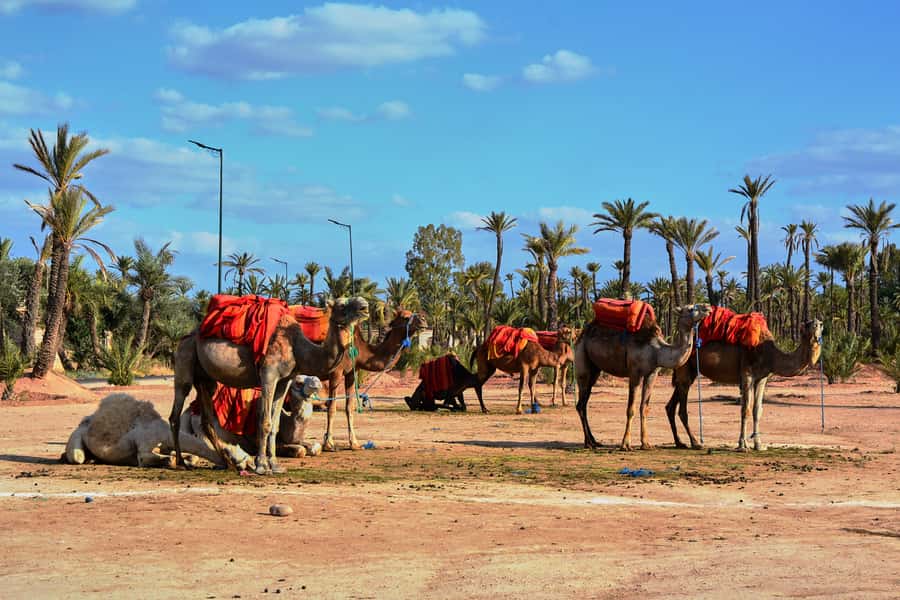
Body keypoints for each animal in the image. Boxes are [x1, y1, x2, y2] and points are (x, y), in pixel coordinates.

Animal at [64, 393, 227, 468]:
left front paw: (187, 461)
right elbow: (155, 458)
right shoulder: (145, 444)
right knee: (77, 457)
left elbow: (180, 455)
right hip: (77, 437)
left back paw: (92, 459)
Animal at [169, 296, 369, 475]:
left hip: (205, 378)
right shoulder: (268, 375)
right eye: (342, 305)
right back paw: (181, 463)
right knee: (176, 410)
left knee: (207, 419)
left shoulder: (285, 381)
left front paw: (275, 465)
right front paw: (261, 466)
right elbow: (264, 421)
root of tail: (188, 335)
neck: (297, 347)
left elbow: (275, 423)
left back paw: (229, 463)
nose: (365, 306)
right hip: (185, 356)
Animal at [320, 310, 427, 451]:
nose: (423, 319)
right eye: (405, 317)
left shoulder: (351, 372)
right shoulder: (335, 373)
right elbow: (331, 407)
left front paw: (354, 444)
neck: (360, 349)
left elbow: (349, 407)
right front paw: (328, 444)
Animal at [574, 304, 711, 450]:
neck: (657, 351)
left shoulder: (652, 374)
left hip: (595, 370)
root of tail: (582, 334)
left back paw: (594, 441)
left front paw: (645, 443)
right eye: (691, 309)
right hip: (582, 358)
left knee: (584, 403)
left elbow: (644, 407)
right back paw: (588, 443)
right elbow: (631, 409)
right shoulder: (635, 372)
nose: (707, 307)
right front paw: (625, 444)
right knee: (581, 403)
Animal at [665, 318, 822, 451]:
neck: (770, 355)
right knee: (682, 408)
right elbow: (745, 409)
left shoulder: (762, 378)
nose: (816, 325)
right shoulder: (747, 374)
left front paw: (759, 445)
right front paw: (742, 445)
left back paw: (680, 442)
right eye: (808, 324)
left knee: (671, 405)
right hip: (685, 365)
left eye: (821, 324)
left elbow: (757, 410)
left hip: (690, 370)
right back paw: (695, 443)